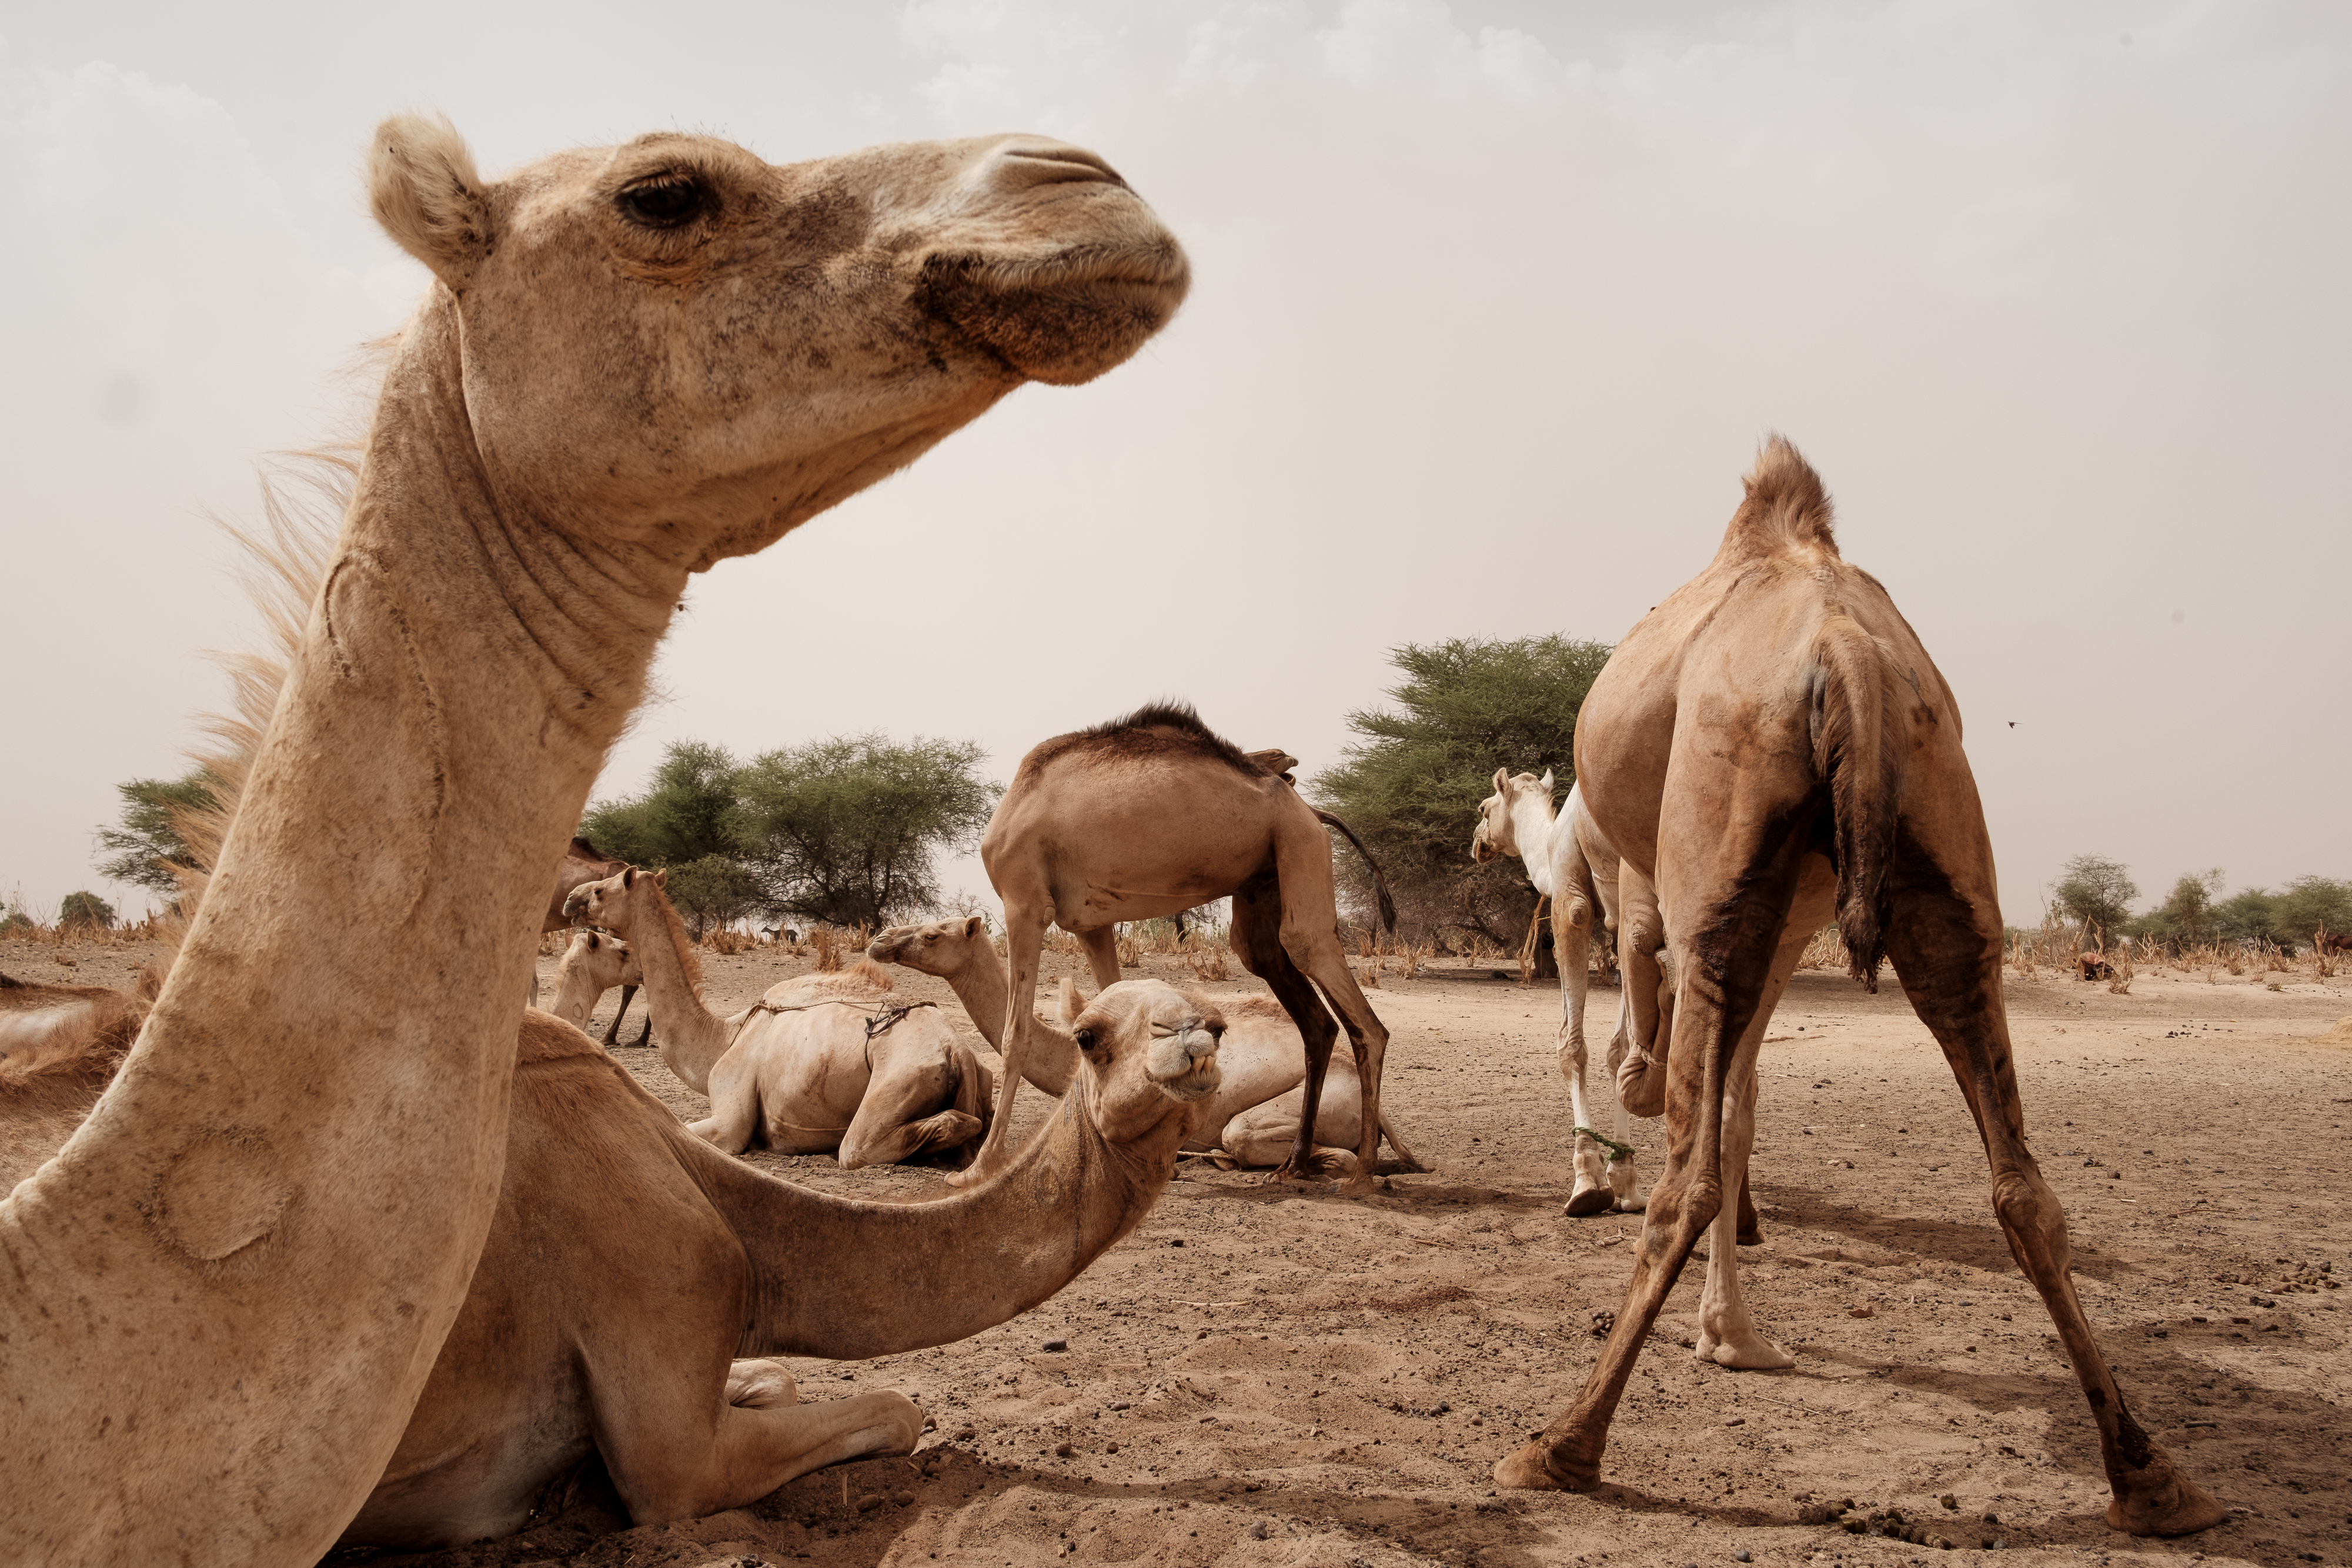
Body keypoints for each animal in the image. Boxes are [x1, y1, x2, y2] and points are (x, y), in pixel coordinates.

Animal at [569, 869, 993, 1167]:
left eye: (602, 890)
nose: (571, 898)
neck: (724, 1035)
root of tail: (957, 1052)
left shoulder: (730, 1118)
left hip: (899, 1080)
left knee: (863, 1146)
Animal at [969, 702, 1397, 1193]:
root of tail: (1313, 811)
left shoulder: (1024, 902)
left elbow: (1015, 1036)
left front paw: (981, 1165)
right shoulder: (1092, 924)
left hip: (1299, 846)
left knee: (1355, 1009)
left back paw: (1362, 1174)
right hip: (1269, 877)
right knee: (1311, 1014)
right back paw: (1293, 1165)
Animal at [1493, 438, 2222, 1539]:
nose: (1479, 837)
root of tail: (1851, 654)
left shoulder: (1629, 888)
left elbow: (1638, 1056)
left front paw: (1611, 1176)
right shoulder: (1788, 917)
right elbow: (1734, 1094)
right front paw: (1729, 1323)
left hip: (1722, 844)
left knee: (1684, 1172)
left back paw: (1563, 1443)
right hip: (1944, 856)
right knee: (2022, 1181)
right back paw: (2151, 1475)